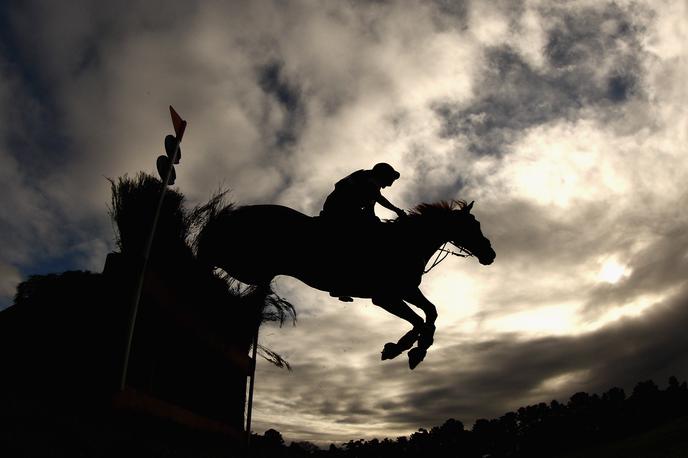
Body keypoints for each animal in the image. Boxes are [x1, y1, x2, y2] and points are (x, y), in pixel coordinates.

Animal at [198, 199, 494, 368]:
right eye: (473, 224)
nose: (490, 255)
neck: (406, 242)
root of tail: (234, 214)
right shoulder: (385, 297)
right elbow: (420, 320)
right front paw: (401, 348)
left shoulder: (406, 290)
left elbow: (430, 313)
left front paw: (417, 349)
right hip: (244, 265)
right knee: (207, 256)